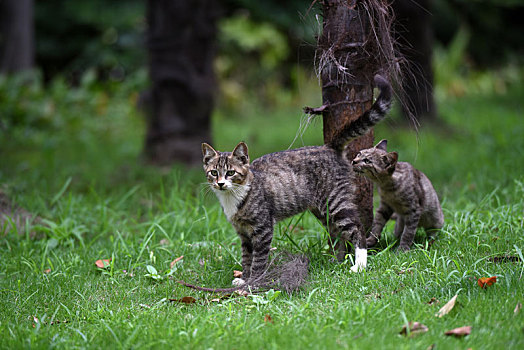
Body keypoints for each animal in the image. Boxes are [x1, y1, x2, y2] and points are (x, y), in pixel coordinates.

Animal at [203, 74, 390, 284]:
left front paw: (253, 282)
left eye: (230, 173)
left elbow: (258, 258)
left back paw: (360, 265)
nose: (220, 183)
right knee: (336, 234)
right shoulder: (243, 233)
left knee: (357, 229)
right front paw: (244, 277)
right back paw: (336, 262)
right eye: (213, 172)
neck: (235, 196)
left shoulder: (263, 228)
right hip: (322, 209)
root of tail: (329, 147)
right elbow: (247, 256)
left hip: (336, 201)